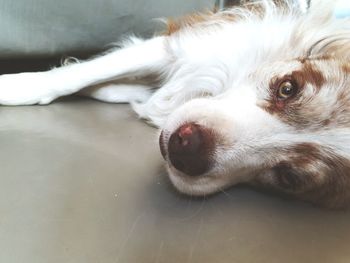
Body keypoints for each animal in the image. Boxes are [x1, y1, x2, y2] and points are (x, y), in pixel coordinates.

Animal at [0, 1, 348, 209]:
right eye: (288, 88)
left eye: (289, 177)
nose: (186, 146)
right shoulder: (194, 44)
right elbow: (85, 72)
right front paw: (19, 86)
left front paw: (115, 91)